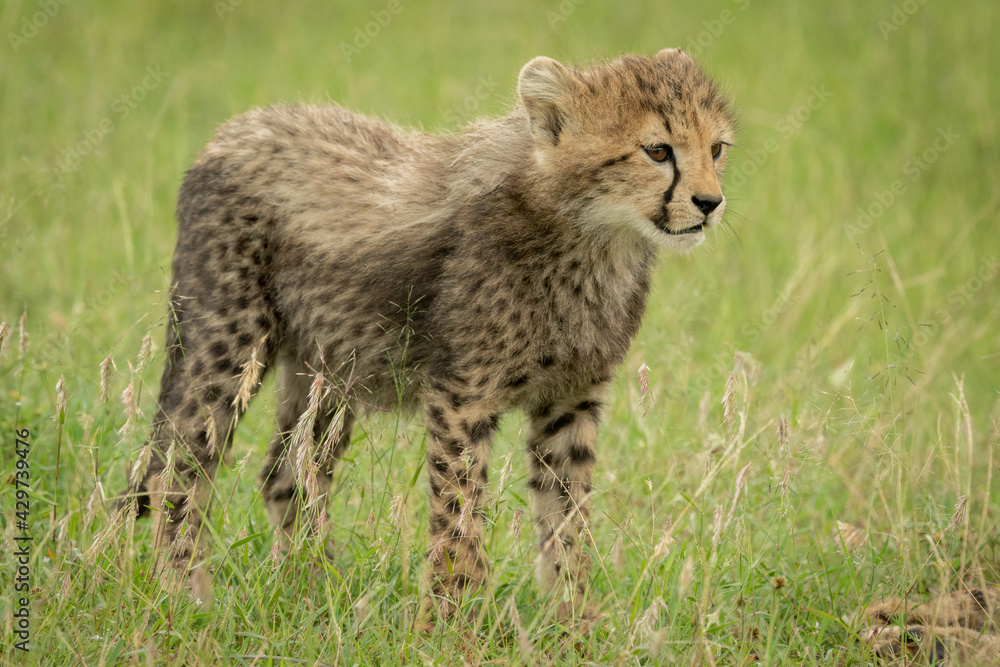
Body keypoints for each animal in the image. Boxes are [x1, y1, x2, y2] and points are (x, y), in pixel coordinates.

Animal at [122, 48, 737, 629]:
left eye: (716, 149)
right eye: (657, 151)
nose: (709, 203)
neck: (594, 236)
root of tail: (239, 125)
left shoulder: (570, 400)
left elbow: (568, 521)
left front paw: (576, 625)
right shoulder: (463, 395)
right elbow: (459, 519)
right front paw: (451, 627)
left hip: (329, 368)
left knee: (286, 474)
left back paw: (315, 593)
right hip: (228, 343)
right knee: (175, 469)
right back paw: (185, 598)